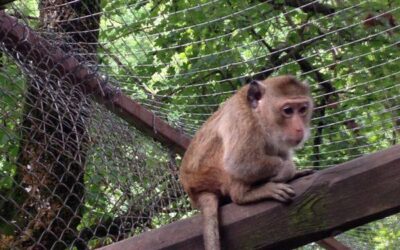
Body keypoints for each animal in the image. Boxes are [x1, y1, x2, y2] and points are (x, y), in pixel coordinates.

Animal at [180, 75, 314, 249]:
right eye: (288, 111)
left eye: (303, 109)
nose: (300, 129)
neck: (258, 115)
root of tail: (194, 191)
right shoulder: (242, 119)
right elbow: (239, 162)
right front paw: (288, 169)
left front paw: (295, 172)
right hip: (211, 175)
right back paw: (244, 194)